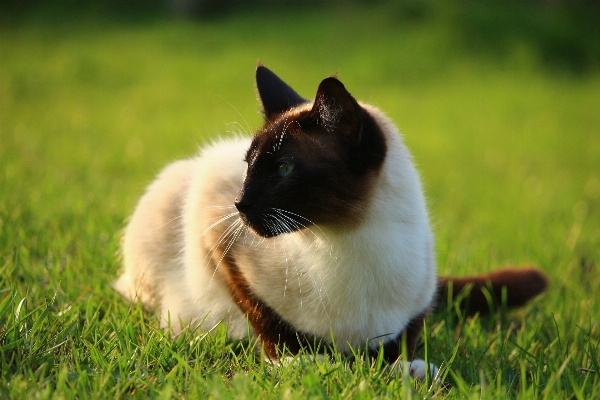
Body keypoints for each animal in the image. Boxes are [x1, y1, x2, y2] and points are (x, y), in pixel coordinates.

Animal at [113, 63, 548, 378]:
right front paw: (299, 362)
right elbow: (266, 319)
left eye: (284, 169)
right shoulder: (220, 240)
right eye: (249, 166)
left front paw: (404, 368)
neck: (344, 243)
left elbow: (404, 338)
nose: (240, 204)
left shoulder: (419, 300)